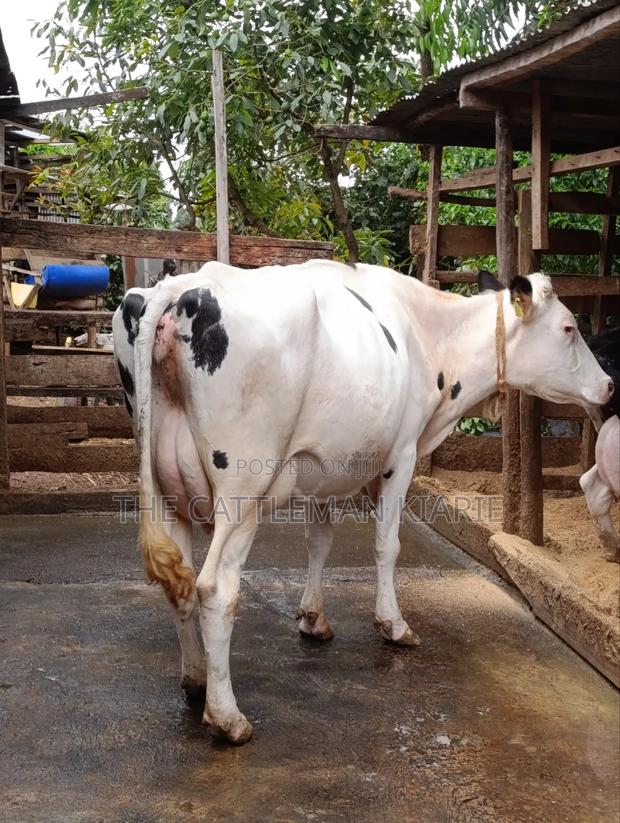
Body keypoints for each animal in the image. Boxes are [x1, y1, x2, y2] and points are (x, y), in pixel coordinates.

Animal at [113, 261, 613, 744]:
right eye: (569, 328)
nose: (609, 385)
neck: (430, 335)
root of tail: (184, 284)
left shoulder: (320, 466)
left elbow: (319, 542)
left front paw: (313, 618)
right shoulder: (403, 454)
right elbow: (387, 546)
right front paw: (394, 625)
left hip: (169, 483)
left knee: (179, 581)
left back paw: (196, 680)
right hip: (243, 487)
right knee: (215, 588)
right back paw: (227, 717)